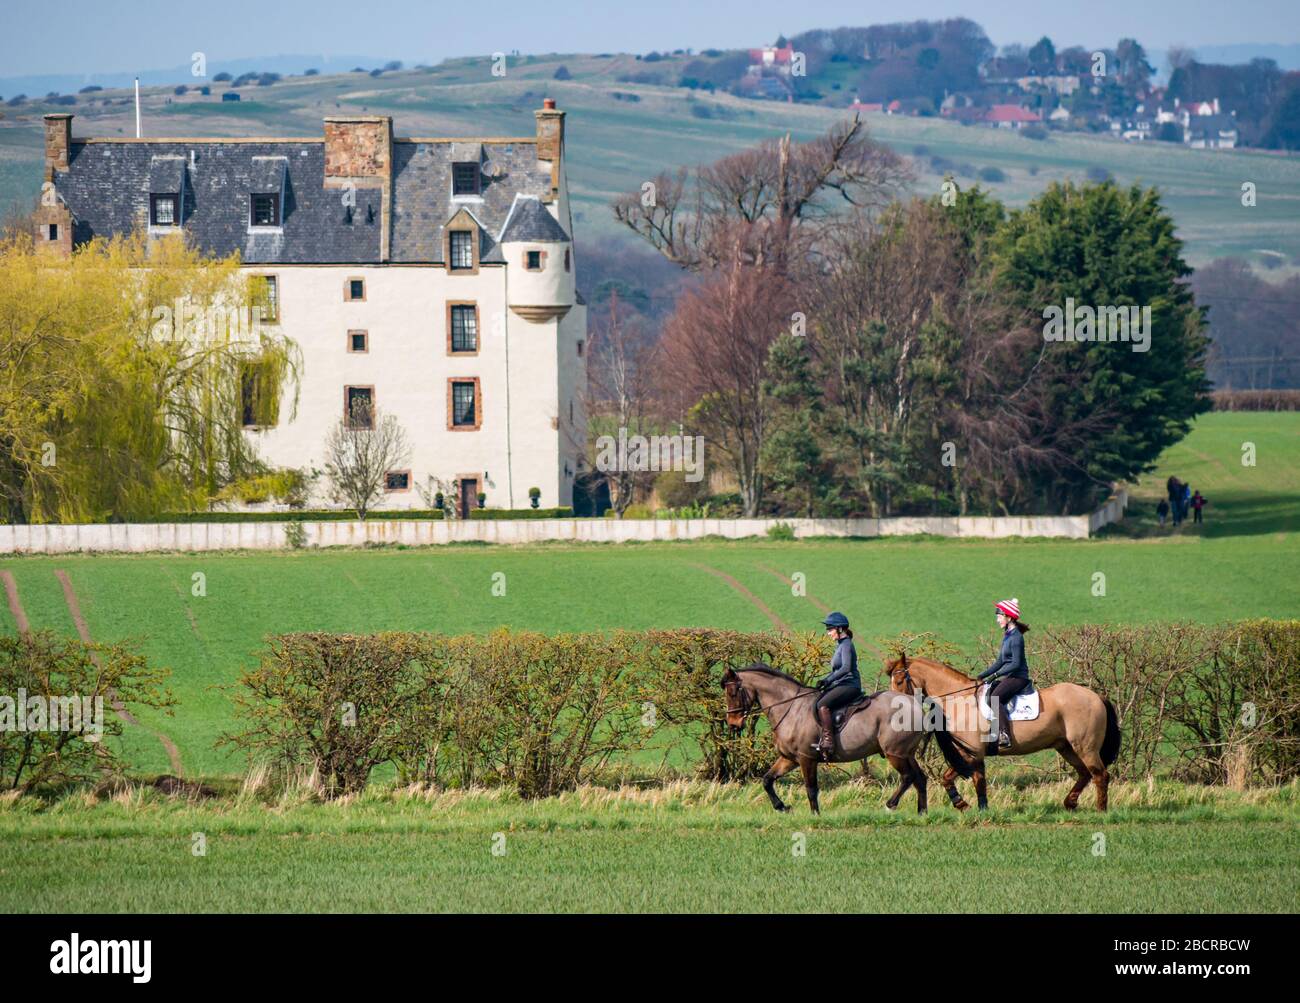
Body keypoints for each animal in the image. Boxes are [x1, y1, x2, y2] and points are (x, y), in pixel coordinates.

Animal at [728, 665, 930, 815]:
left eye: (733, 693)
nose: (732, 724)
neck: (791, 708)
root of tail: (914, 705)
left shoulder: (806, 758)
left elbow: (811, 788)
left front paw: (815, 815)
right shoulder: (789, 759)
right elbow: (767, 780)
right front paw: (782, 807)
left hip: (895, 753)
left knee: (908, 777)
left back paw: (890, 805)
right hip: (907, 754)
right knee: (920, 778)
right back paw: (922, 813)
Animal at [889, 654, 1123, 810]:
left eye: (899, 681)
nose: (895, 707)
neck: (959, 699)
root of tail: (1096, 696)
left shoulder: (972, 753)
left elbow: (965, 779)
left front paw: (969, 806)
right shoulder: (969, 754)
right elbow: (960, 779)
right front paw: (970, 806)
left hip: (1085, 746)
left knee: (1100, 775)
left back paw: (1100, 811)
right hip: (1066, 747)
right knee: (1084, 773)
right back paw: (1070, 802)